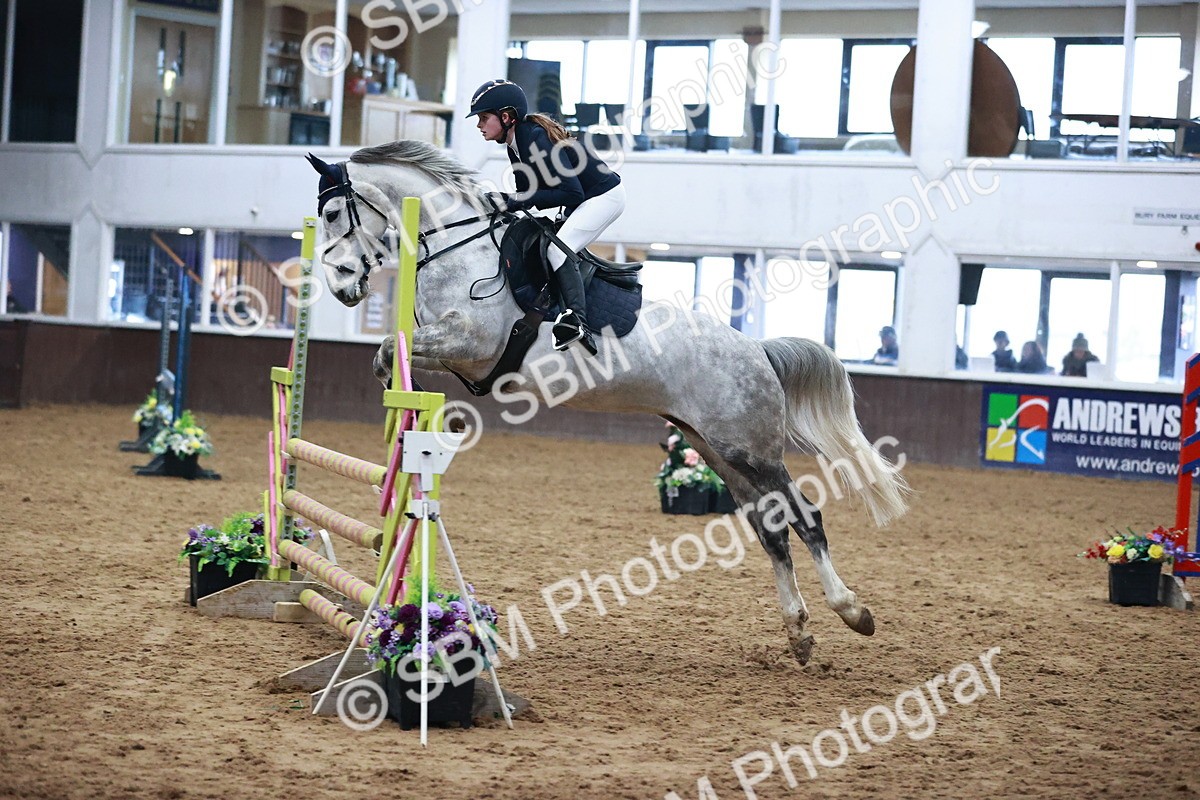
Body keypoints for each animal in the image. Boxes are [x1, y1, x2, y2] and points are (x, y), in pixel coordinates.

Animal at [306, 141, 909, 665]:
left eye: (334, 212)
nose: (341, 287)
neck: (461, 248)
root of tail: (757, 350)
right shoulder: (452, 352)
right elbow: (391, 351)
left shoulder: (471, 344)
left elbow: (391, 348)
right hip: (718, 451)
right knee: (773, 530)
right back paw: (799, 633)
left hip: (752, 451)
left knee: (804, 518)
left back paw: (852, 612)